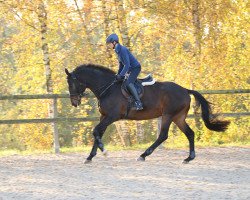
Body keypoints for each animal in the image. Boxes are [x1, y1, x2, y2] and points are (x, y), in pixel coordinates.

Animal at [65, 64, 230, 164]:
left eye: (72, 83)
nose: (74, 102)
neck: (108, 88)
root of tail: (185, 90)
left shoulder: (112, 116)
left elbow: (96, 131)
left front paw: (104, 151)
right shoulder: (104, 116)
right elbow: (97, 132)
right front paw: (90, 156)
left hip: (168, 115)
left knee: (163, 135)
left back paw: (143, 155)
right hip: (178, 117)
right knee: (190, 133)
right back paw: (189, 158)